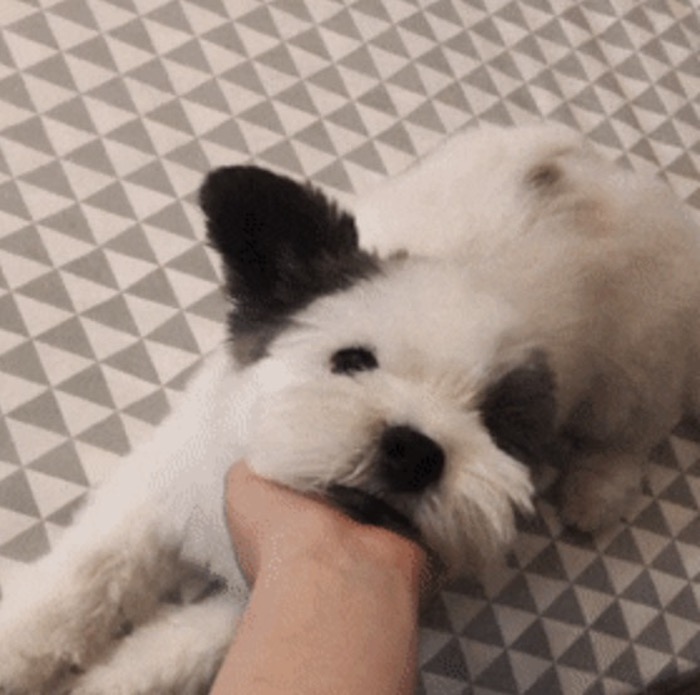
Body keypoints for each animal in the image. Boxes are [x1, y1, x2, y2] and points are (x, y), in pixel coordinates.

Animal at [1, 123, 699, 694]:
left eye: (495, 425)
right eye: (352, 361)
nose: (415, 450)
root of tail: (619, 180)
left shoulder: (280, 582)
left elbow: (182, 647)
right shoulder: (165, 487)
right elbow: (83, 580)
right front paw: (18, 651)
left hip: (634, 365)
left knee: (640, 426)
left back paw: (597, 488)